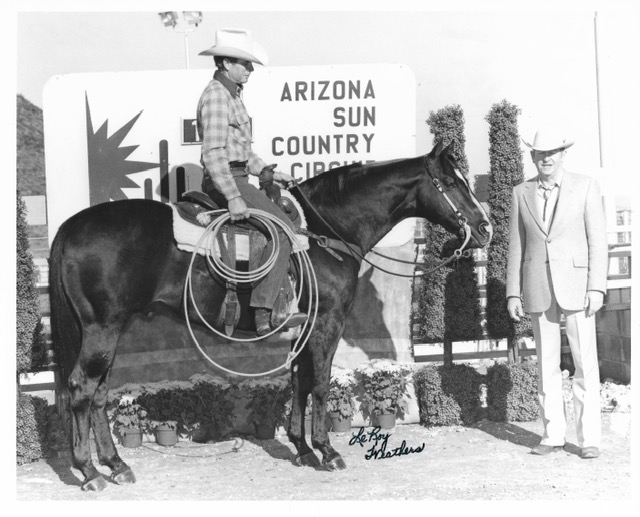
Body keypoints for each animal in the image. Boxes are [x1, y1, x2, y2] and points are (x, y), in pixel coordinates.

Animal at [50, 141, 492, 488]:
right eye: (453, 182)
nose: (485, 228)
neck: (326, 230)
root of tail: (70, 226)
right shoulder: (327, 322)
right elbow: (320, 384)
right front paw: (327, 452)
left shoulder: (303, 328)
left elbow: (298, 382)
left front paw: (302, 448)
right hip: (101, 329)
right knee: (81, 389)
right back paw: (89, 472)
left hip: (110, 329)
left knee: (99, 393)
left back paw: (116, 464)